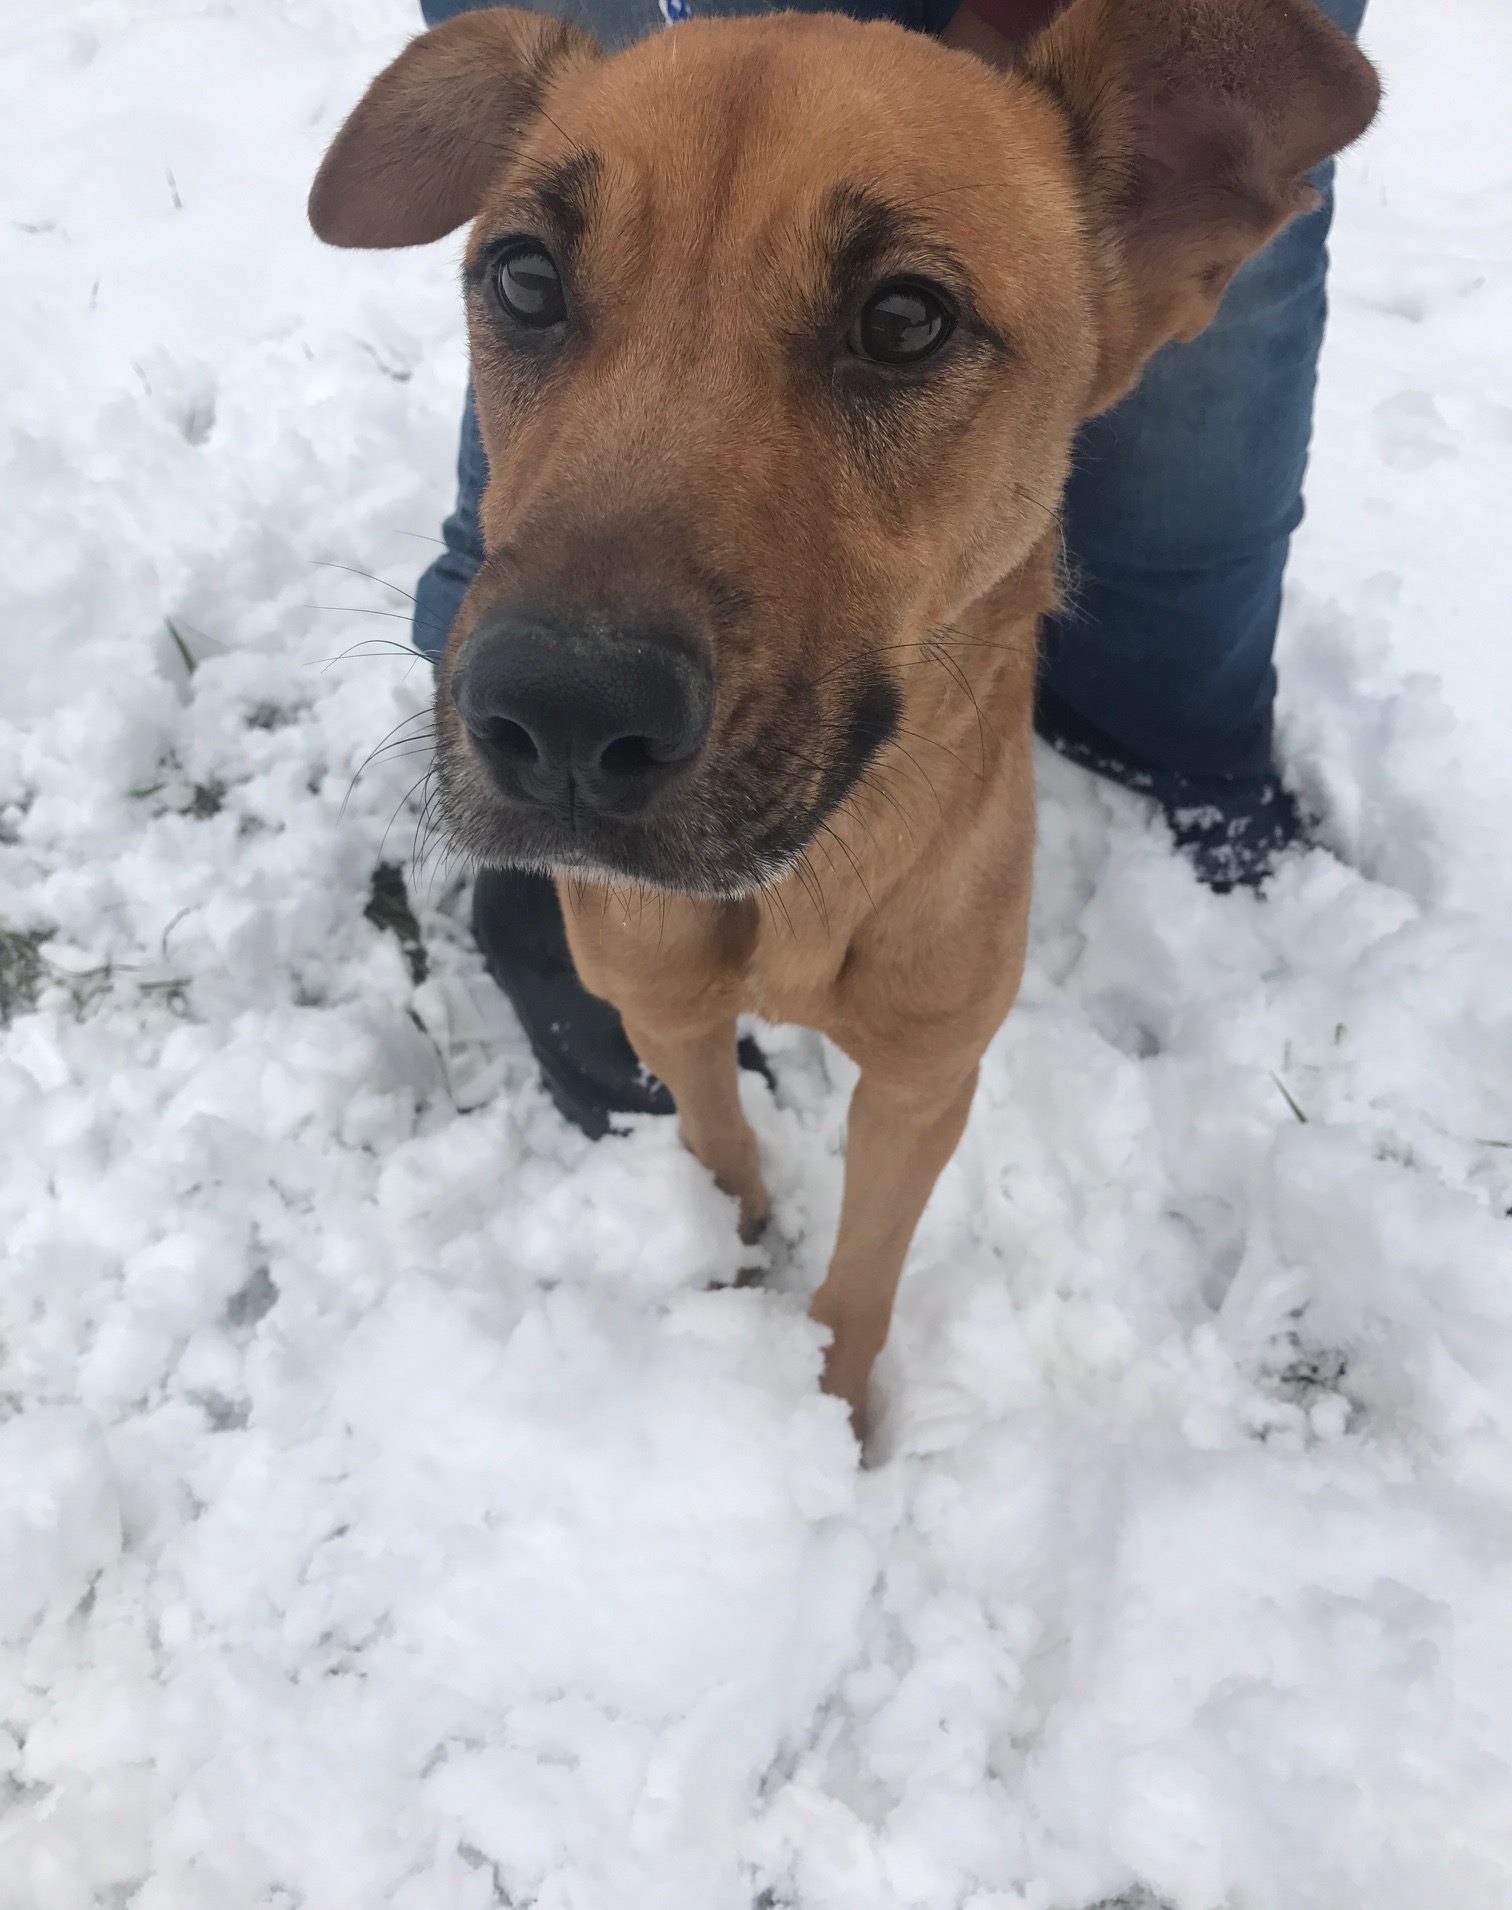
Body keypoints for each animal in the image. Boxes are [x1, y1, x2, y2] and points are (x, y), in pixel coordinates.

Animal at [316, 3, 1382, 1436]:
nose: (558, 713)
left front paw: (835, 1407)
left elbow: (865, 1273)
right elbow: (719, 1147)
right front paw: (725, 1261)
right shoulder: (667, 1010)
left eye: (906, 318)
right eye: (526, 279)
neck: (800, 887)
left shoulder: (928, 1078)